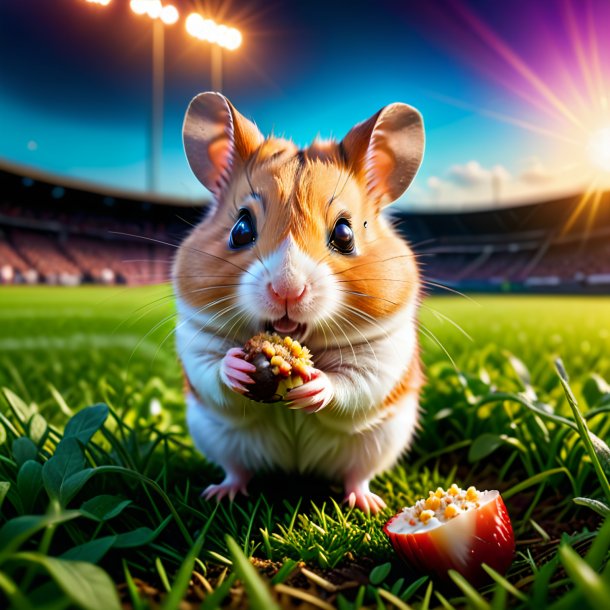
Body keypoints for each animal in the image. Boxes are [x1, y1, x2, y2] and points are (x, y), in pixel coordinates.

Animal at [173, 92, 422, 512]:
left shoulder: (383, 354)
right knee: (237, 470)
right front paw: (237, 368)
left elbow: (353, 384)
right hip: (217, 438)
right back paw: (221, 493)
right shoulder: (196, 338)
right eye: (240, 229)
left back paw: (367, 503)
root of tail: (296, 468)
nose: (286, 289)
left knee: (357, 475)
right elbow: (212, 370)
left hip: (379, 443)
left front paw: (314, 387)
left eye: (345, 233)